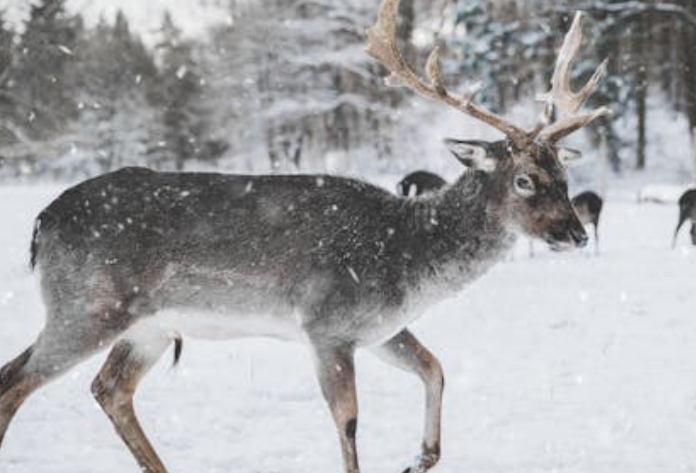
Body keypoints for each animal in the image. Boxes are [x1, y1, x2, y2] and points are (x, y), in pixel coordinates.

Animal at [0, 0, 608, 472]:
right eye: (525, 179)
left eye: (565, 174)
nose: (576, 234)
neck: (406, 258)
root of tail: (41, 222)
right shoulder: (327, 324)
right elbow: (350, 422)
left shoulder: (379, 327)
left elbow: (435, 367)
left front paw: (417, 457)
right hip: (88, 305)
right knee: (17, 380)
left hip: (146, 325)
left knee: (107, 389)